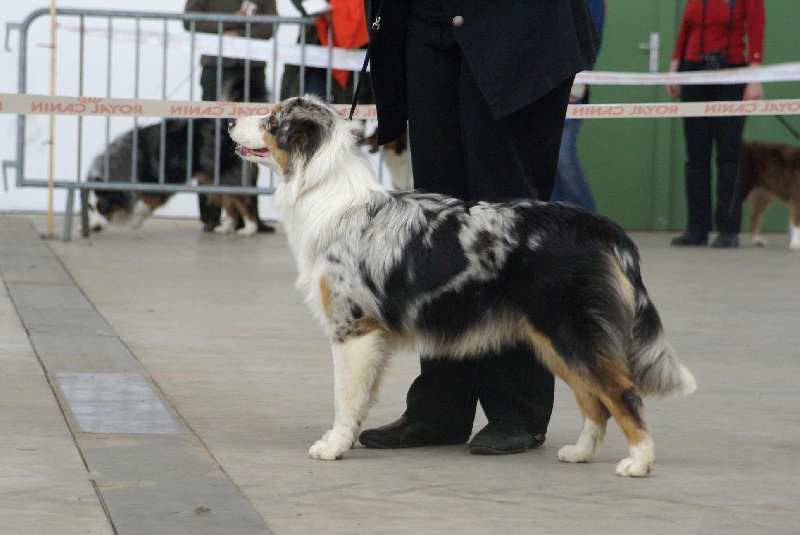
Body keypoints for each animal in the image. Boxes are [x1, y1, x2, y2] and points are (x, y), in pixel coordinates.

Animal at [228, 96, 696, 478]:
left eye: (272, 120)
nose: (230, 120)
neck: (324, 190)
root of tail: (595, 226)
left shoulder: (352, 326)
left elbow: (344, 397)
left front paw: (332, 446)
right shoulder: (370, 335)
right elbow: (360, 396)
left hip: (571, 330)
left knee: (622, 392)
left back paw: (638, 462)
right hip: (553, 339)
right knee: (594, 401)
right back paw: (580, 453)